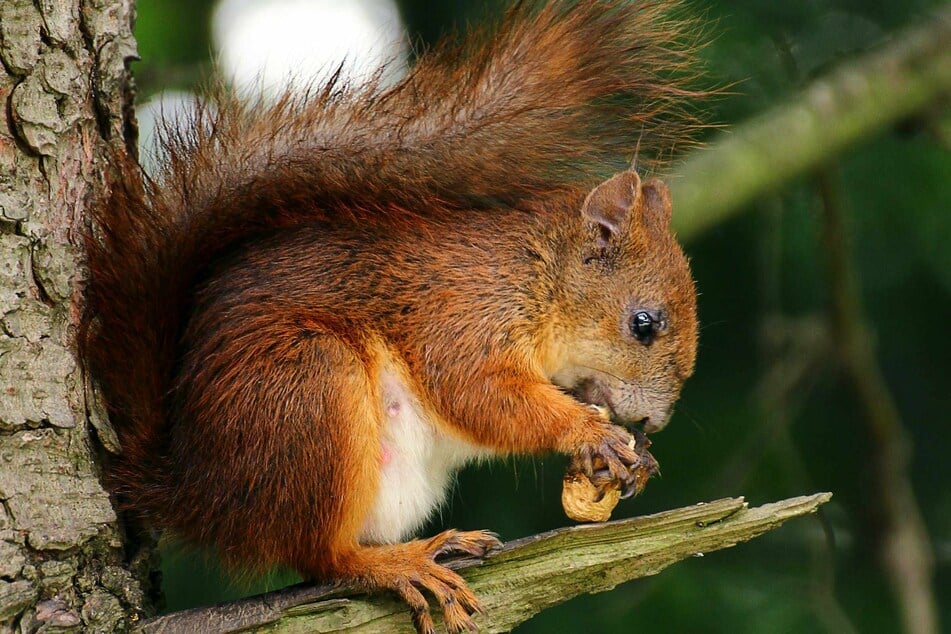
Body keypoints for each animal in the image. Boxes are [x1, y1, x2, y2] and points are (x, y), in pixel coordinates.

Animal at [83, 1, 708, 632]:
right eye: (644, 324)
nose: (653, 422)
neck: (536, 273)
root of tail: (193, 492)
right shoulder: (461, 313)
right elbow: (478, 392)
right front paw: (589, 431)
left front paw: (635, 460)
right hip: (308, 390)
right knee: (322, 556)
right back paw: (400, 563)